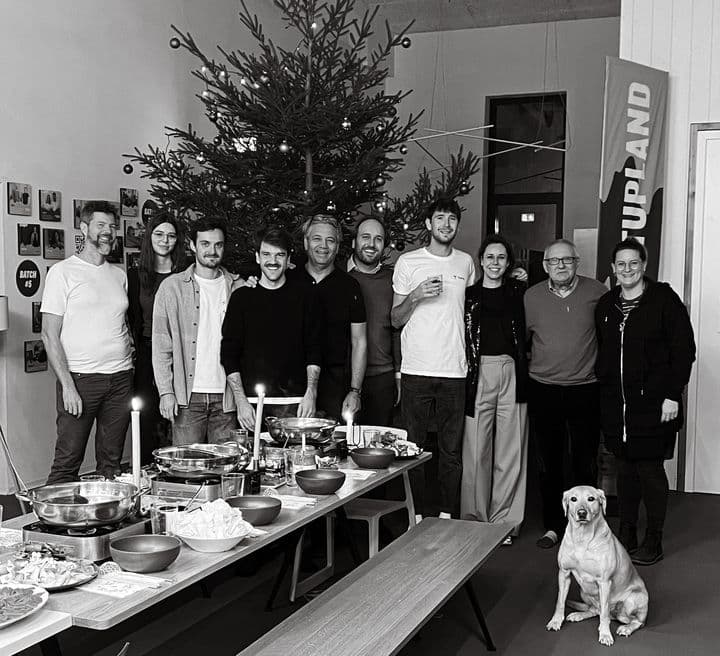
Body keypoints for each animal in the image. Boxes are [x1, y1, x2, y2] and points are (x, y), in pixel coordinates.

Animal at [544, 486, 648, 644]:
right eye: (573, 499)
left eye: (591, 499)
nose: (581, 513)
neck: (582, 537)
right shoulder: (564, 574)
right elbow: (560, 602)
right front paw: (556, 621)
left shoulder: (604, 582)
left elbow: (604, 614)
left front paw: (605, 634)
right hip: (584, 591)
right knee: (594, 610)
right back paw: (578, 615)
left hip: (634, 598)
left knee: (635, 621)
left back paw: (626, 628)